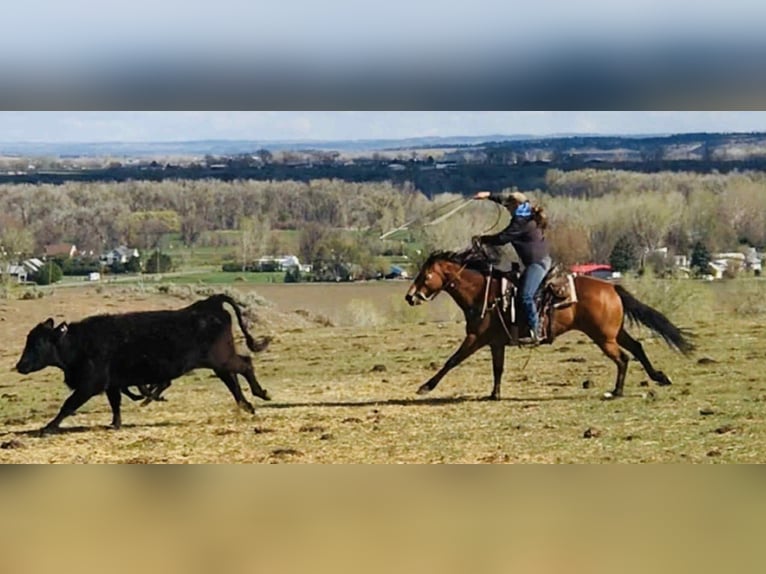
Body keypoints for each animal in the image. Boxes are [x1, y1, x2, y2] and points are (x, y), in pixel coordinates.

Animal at [404, 250, 694, 400]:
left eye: (425, 275)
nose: (410, 297)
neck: (485, 294)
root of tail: (612, 288)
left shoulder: (475, 338)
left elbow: (452, 360)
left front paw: (426, 386)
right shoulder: (496, 342)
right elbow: (498, 369)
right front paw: (494, 394)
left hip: (603, 338)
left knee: (623, 358)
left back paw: (617, 391)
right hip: (614, 333)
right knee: (637, 348)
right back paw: (659, 377)